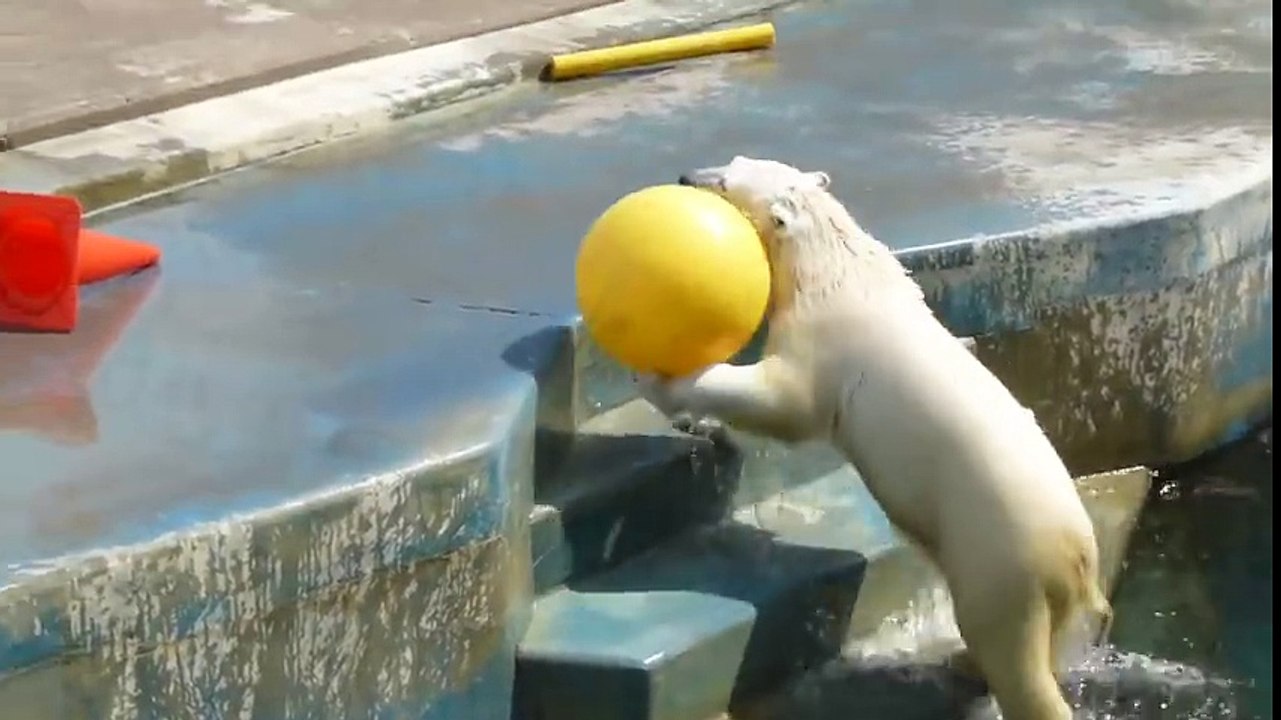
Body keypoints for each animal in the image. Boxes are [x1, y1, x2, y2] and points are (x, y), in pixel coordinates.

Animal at [639, 156, 1111, 720]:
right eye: (734, 160)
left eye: (728, 183)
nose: (687, 177)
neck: (838, 269)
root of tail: (1078, 553)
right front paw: (700, 426)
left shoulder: (826, 338)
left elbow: (786, 401)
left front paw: (664, 385)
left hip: (1002, 555)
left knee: (1010, 649)